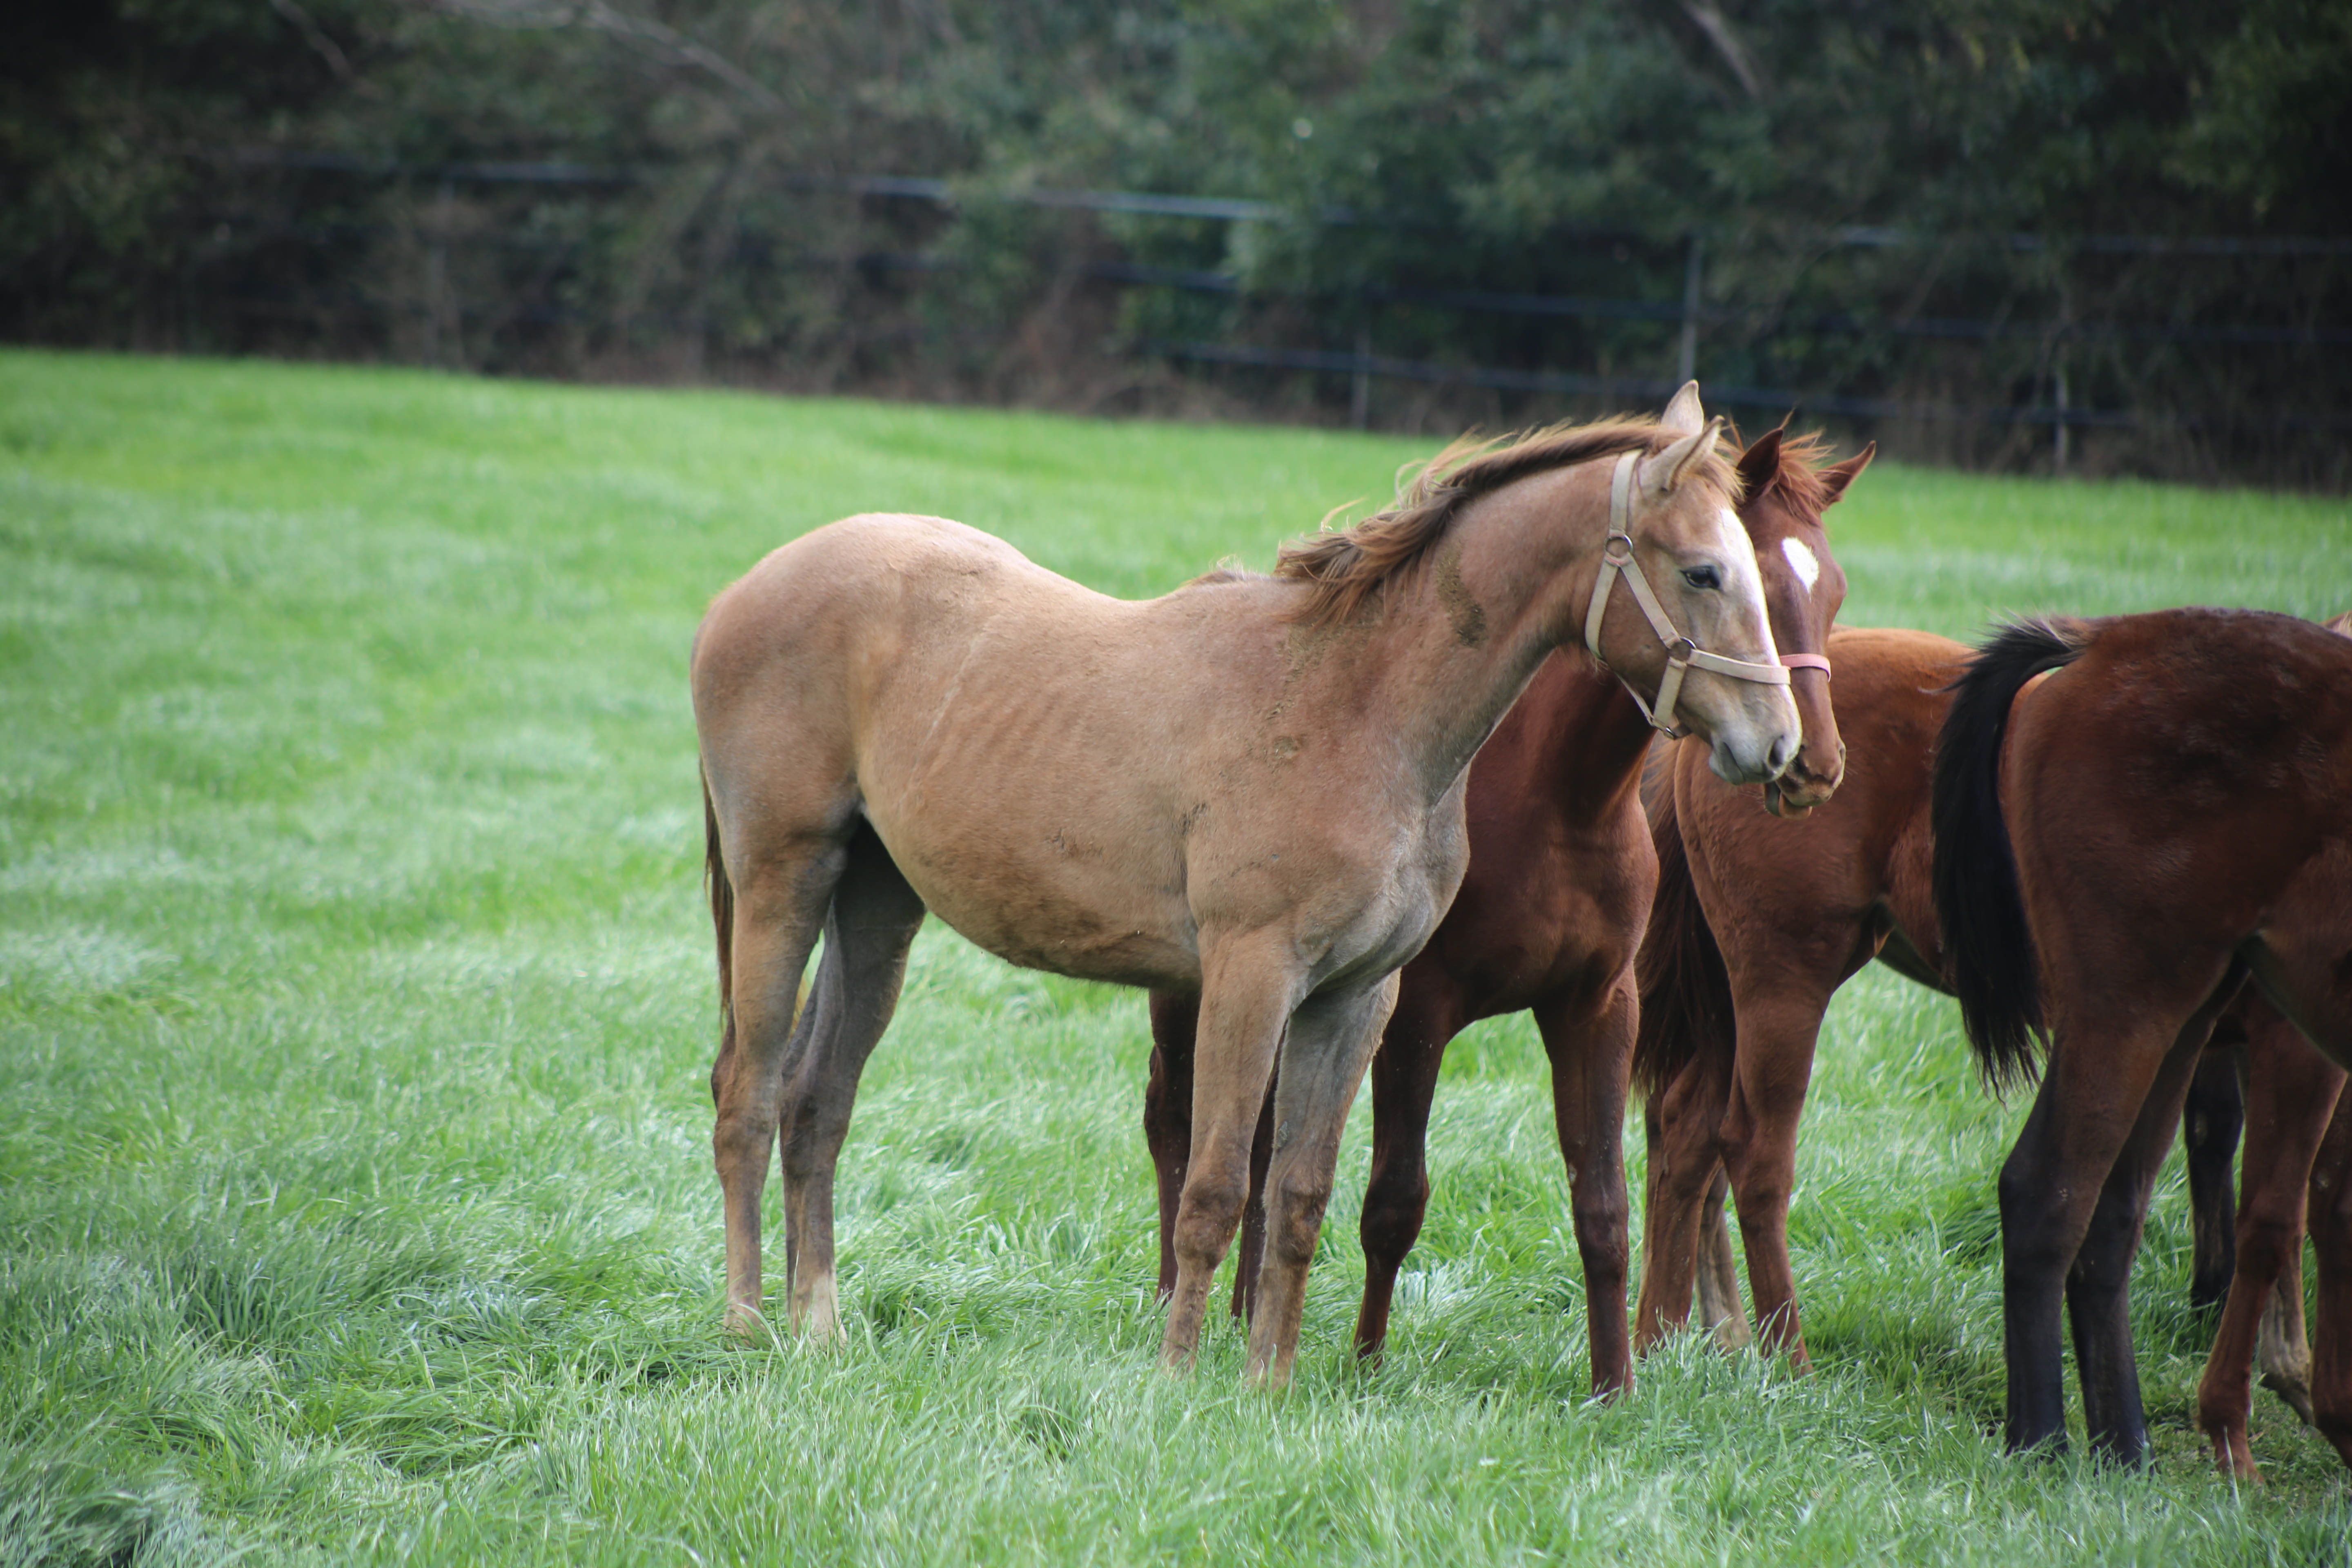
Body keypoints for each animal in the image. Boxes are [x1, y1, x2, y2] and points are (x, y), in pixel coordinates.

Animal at [691, 383, 1797, 1382]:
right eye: (1704, 571)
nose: (1779, 745)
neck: (1357, 708)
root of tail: (744, 590)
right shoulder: (1249, 977)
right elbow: (1218, 1187)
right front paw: (1181, 1378)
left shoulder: (1356, 999)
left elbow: (1300, 1194)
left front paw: (1268, 1383)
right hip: (783, 880)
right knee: (747, 1092)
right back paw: (743, 1324)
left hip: (877, 905)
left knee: (818, 1101)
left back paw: (819, 1327)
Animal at [1138, 421, 1872, 1401]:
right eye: (1717, 573)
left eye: (1831, 591)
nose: (1804, 760)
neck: (1557, 802)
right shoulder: (1416, 1013)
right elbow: (1394, 1200)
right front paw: (1367, 1363)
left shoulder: (1597, 1006)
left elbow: (1602, 1206)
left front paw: (1614, 1389)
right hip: (1198, 990)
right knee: (1177, 1123)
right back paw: (1176, 1301)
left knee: (1256, 1147)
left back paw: (1242, 1312)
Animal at [1929, 606, 2352, 1467]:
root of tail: (2101, 636)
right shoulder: (2302, 1051)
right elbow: (2288, 1216)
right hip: (2129, 1008)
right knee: (2047, 1192)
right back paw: (2042, 1442)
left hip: (2182, 1019)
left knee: (2112, 1216)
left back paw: (2124, 1451)